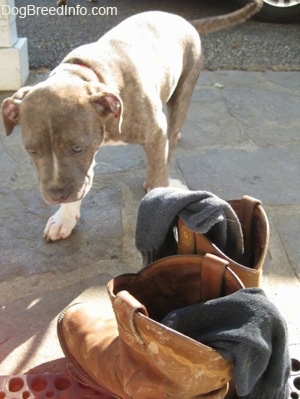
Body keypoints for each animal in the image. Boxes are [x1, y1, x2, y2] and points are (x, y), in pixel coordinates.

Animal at [1, 3, 262, 242]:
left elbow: (157, 173)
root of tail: (183, 20)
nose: (56, 193)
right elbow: (83, 178)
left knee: (171, 135)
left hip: (183, 91)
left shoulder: (153, 132)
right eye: (31, 150)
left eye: (77, 148)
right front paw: (64, 217)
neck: (86, 75)